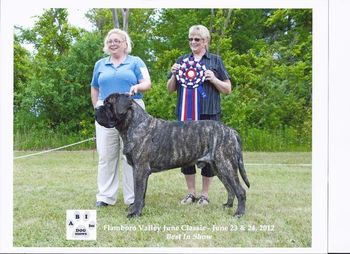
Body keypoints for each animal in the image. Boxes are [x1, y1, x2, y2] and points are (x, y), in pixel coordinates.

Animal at [94, 93, 250, 218]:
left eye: (108, 104)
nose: (96, 109)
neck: (134, 125)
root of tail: (231, 131)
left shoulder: (140, 170)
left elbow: (138, 193)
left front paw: (135, 213)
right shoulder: (139, 171)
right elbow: (141, 194)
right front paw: (136, 209)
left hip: (226, 165)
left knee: (240, 191)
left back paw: (239, 213)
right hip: (219, 168)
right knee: (230, 189)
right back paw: (228, 206)